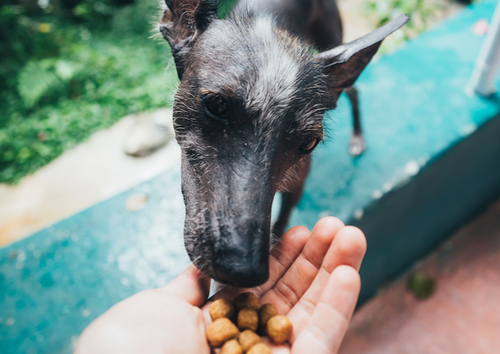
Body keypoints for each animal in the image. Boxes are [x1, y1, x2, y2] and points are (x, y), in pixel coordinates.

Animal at [158, 0, 408, 288]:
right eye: (217, 104)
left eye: (308, 142)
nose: (243, 270)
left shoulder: (297, 186)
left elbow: (280, 223)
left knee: (353, 92)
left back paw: (358, 137)